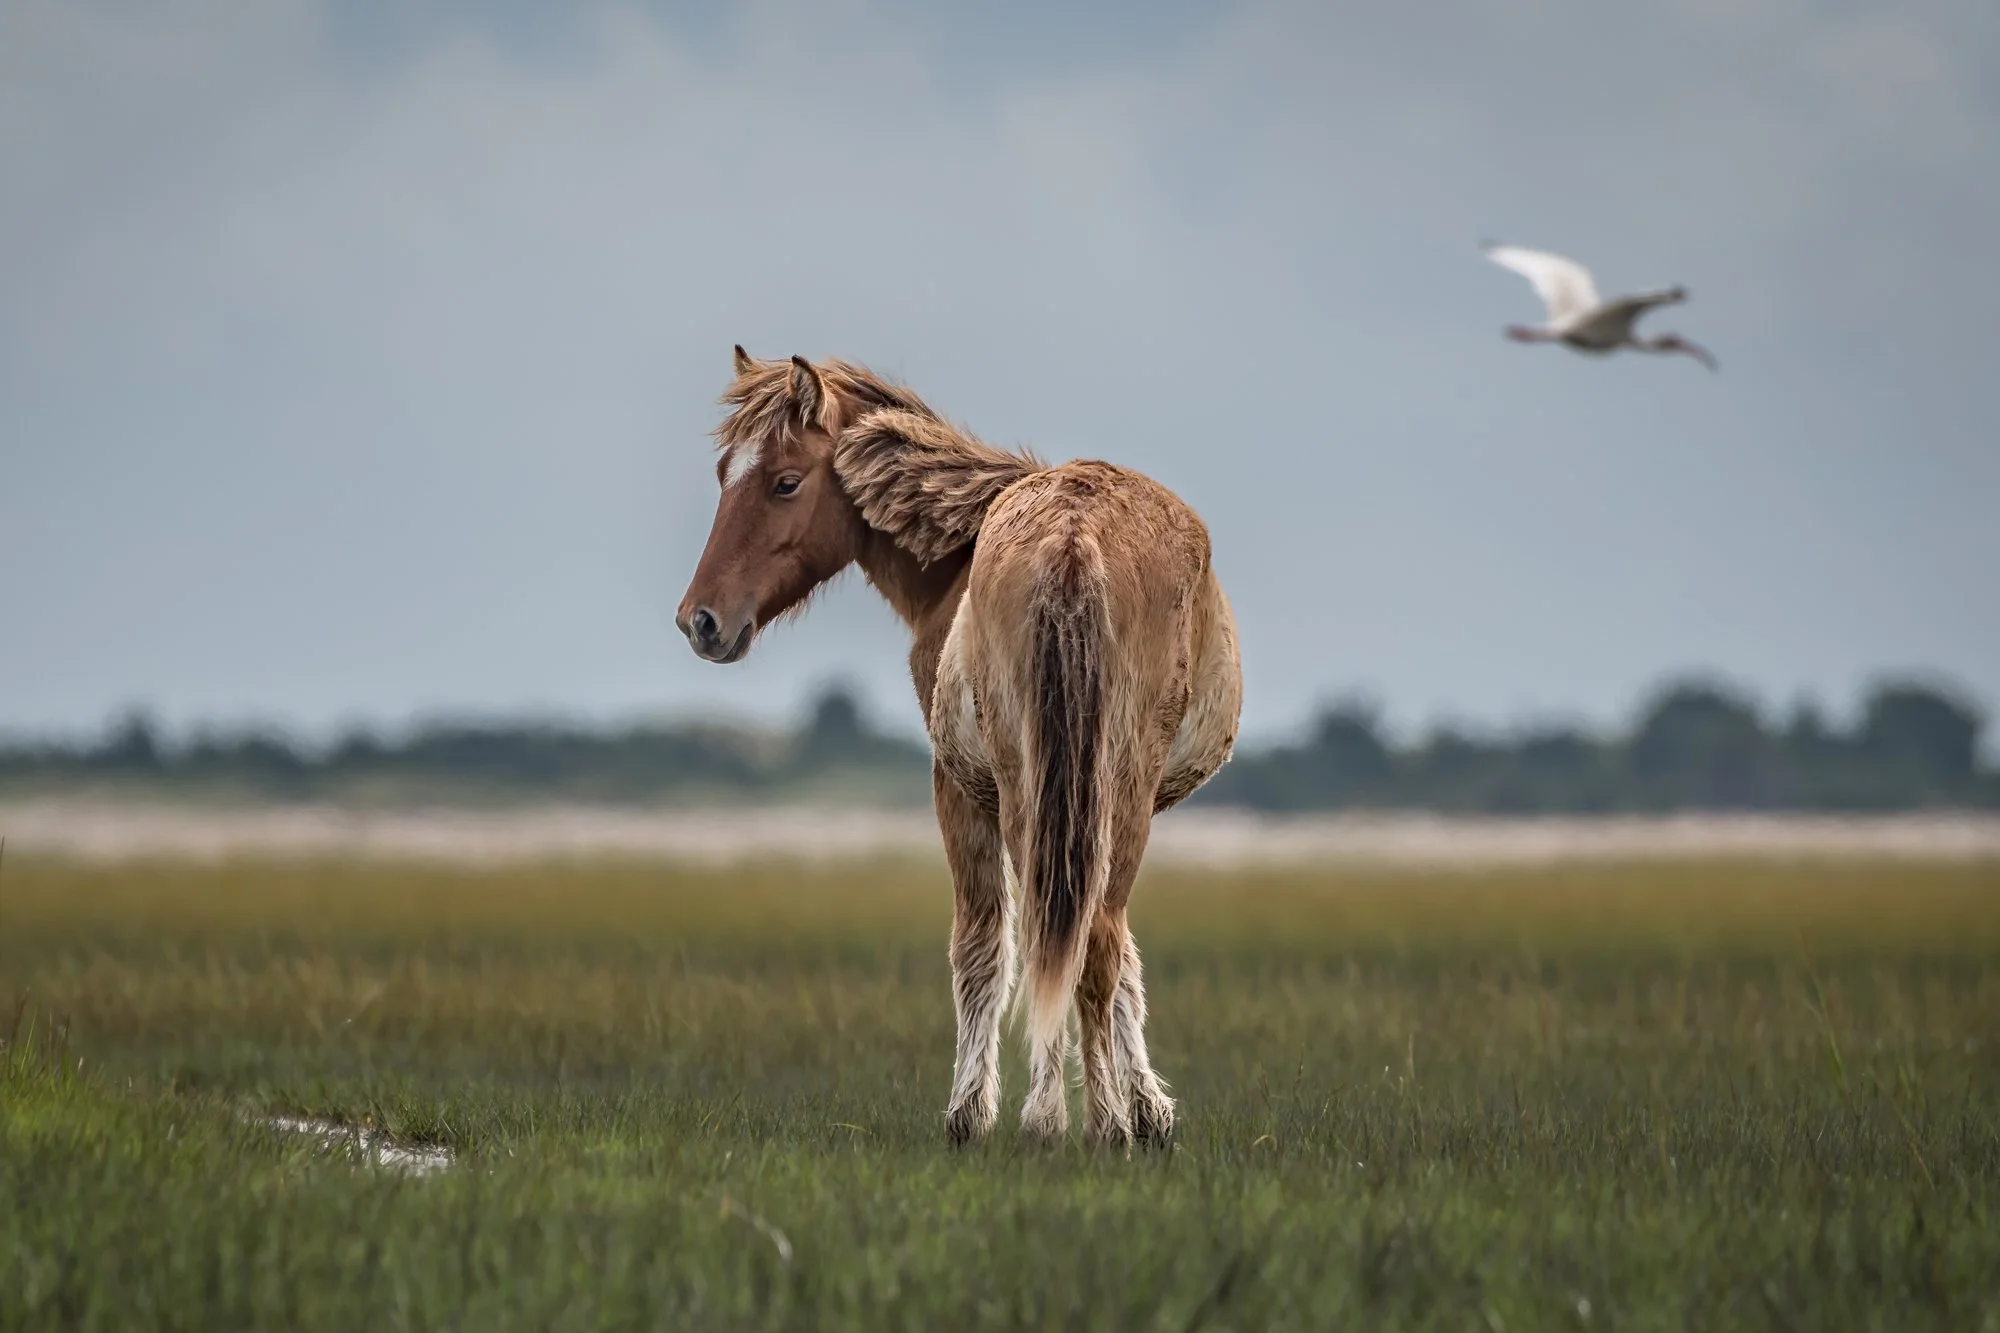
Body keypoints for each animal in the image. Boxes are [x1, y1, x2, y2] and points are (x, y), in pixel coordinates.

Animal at [675, 346, 1243, 1147]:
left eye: (785, 481)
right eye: (725, 471)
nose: (700, 620)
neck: (960, 553)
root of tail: (1076, 538)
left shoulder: (957, 784)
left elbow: (982, 947)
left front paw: (972, 1116)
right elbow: (1119, 953)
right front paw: (1149, 1110)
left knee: (1060, 934)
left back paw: (1068, 1120)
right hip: (1108, 797)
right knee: (1091, 935)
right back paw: (1095, 1118)